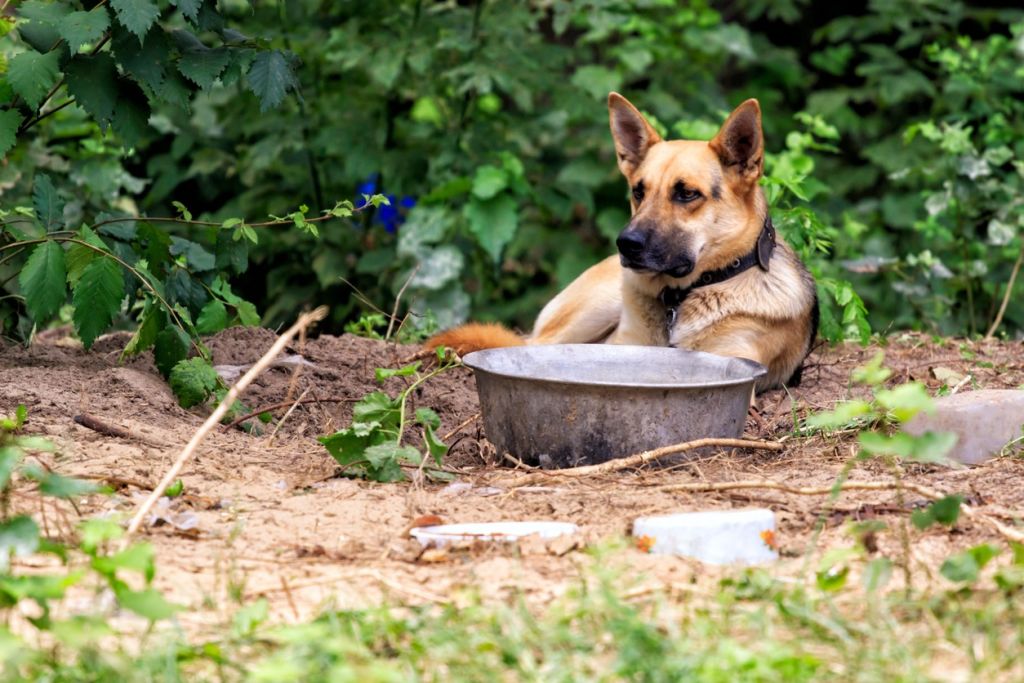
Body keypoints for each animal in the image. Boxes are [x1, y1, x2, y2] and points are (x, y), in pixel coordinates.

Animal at [428, 93, 819, 393]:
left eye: (687, 194)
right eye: (638, 191)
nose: (625, 243)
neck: (682, 296)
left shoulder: (733, 359)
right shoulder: (621, 347)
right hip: (595, 306)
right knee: (526, 345)